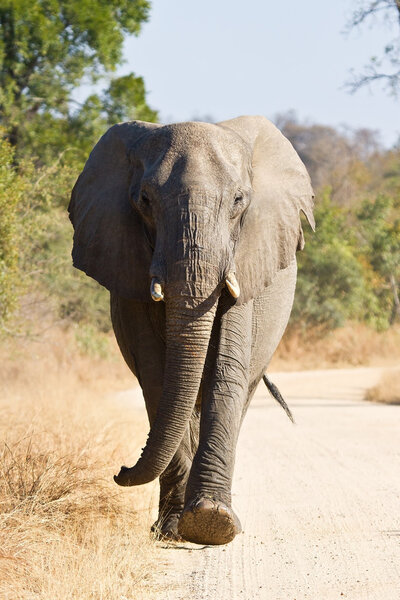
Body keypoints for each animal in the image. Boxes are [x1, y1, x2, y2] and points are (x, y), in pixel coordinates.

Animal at [68, 115, 312, 548]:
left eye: (239, 201)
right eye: (144, 201)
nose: (119, 470)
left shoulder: (244, 260)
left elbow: (225, 372)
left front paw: (212, 524)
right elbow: (158, 378)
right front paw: (175, 528)